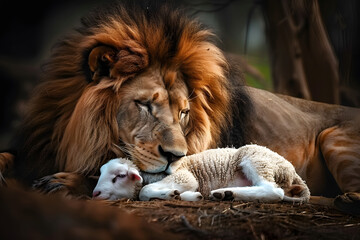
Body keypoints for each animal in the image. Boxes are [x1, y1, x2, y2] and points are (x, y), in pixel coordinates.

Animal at [92, 144, 310, 202]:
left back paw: (225, 193)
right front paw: (188, 196)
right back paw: (226, 194)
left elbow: (145, 192)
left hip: (257, 160)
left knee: (273, 191)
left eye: (119, 176)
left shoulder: (184, 176)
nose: (95, 194)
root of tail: (293, 172)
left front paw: (170, 194)